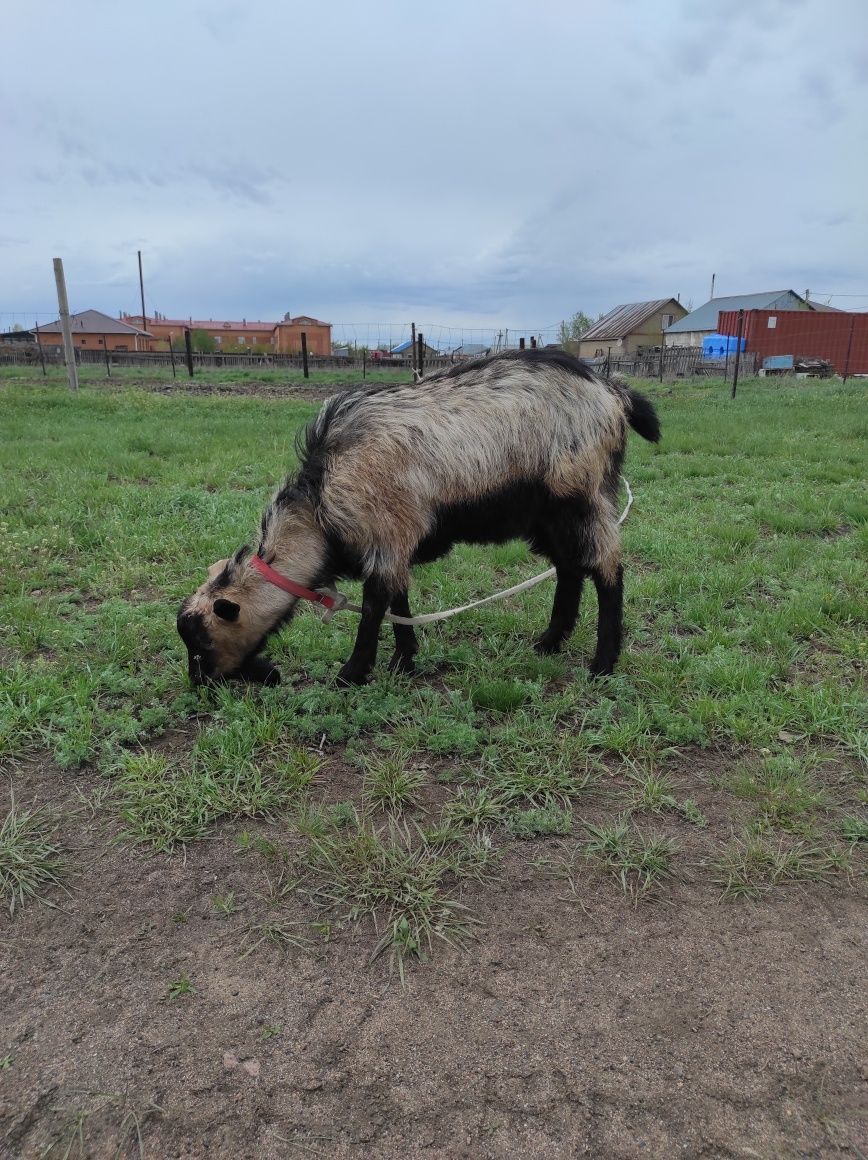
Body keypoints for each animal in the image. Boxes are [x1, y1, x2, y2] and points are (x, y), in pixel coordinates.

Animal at [179, 348, 659, 682]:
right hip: (546, 514)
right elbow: (399, 599)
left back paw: (602, 664)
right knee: (569, 567)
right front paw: (404, 660)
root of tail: (613, 391)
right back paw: (549, 642)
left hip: (584, 494)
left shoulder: (386, 533)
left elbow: (375, 606)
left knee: (607, 568)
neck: (320, 505)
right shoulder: (394, 540)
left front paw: (352, 674)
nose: (200, 682)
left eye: (202, 640)